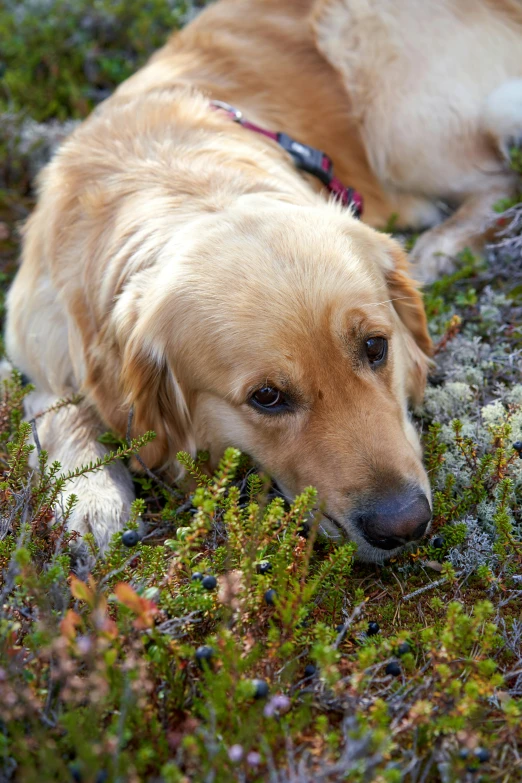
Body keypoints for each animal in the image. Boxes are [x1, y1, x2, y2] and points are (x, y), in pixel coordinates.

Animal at [8, 0, 516, 556]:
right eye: (266, 398)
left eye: (376, 347)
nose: (404, 525)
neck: (179, 183)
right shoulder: (35, 342)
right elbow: (56, 405)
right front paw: (92, 496)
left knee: (500, 178)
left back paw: (442, 246)